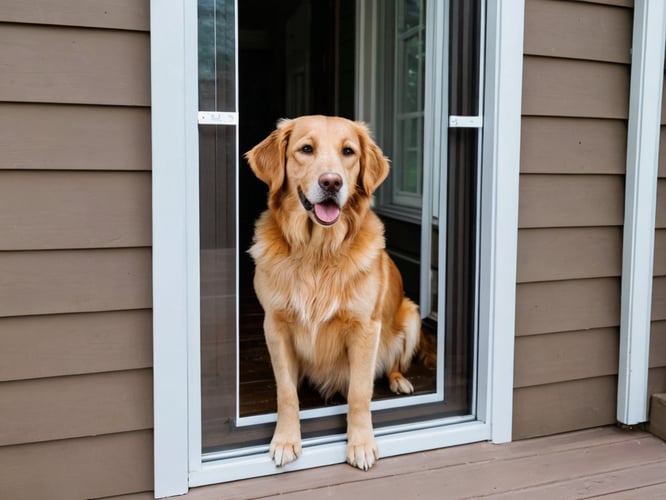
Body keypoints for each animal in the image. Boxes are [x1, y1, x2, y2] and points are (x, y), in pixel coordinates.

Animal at [244, 115, 420, 470]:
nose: (331, 183)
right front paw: (285, 440)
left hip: (411, 315)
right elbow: (286, 392)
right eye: (306, 149)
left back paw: (399, 380)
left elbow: (359, 394)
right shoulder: (275, 325)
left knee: (394, 363)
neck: (318, 251)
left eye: (348, 151)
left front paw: (361, 444)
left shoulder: (365, 329)